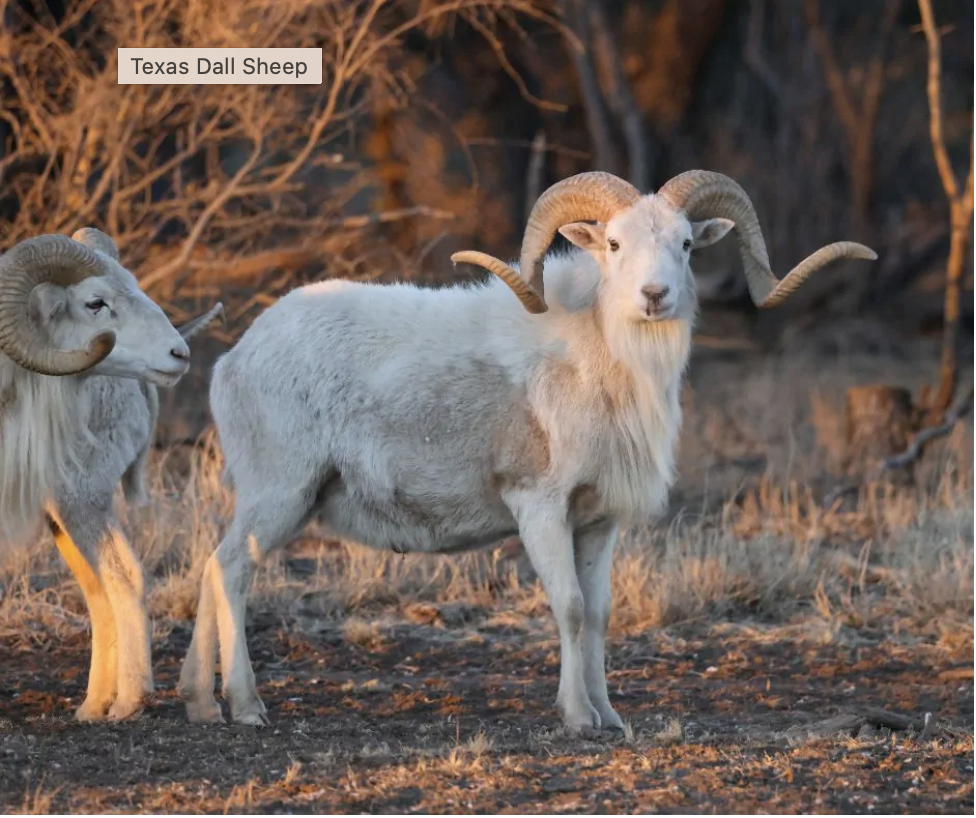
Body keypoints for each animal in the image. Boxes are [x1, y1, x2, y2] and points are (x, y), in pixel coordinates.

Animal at [0, 229, 222, 721]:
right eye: (96, 303)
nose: (178, 354)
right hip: (65, 515)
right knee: (98, 589)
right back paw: (92, 707)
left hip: (81, 500)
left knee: (123, 577)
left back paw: (126, 703)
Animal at [178, 169, 875, 730]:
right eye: (614, 244)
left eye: (683, 244)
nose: (654, 297)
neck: (599, 363)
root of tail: (234, 360)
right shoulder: (539, 508)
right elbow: (568, 608)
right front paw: (578, 720)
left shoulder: (598, 524)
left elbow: (598, 614)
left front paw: (609, 717)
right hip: (282, 493)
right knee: (231, 572)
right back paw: (247, 708)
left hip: (276, 499)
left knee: (212, 567)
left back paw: (201, 704)